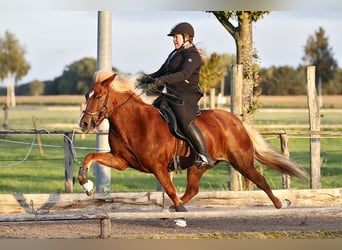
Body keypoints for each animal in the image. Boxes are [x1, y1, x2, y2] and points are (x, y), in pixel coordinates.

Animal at [79, 71, 308, 215]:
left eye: (98, 96)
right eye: (86, 95)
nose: (84, 123)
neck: (134, 122)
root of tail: (236, 121)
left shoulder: (157, 166)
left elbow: (169, 188)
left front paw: (179, 212)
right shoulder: (121, 161)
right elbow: (90, 156)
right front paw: (86, 184)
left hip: (241, 161)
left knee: (260, 180)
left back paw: (280, 203)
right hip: (198, 166)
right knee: (193, 190)